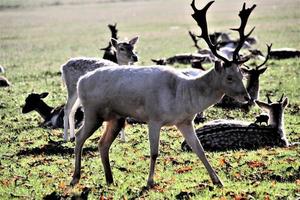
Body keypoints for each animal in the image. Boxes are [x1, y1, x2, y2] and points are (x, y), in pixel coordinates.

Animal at [68, 0, 258, 188]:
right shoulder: (154, 118)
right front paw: (150, 182)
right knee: (79, 137)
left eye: (242, 74)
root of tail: (81, 81)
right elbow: (154, 152)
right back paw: (75, 177)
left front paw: (218, 181)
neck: (183, 96)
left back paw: (110, 179)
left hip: (116, 117)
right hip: (93, 111)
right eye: (229, 77)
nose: (247, 97)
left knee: (103, 143)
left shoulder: (184, 121)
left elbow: (199, 149)